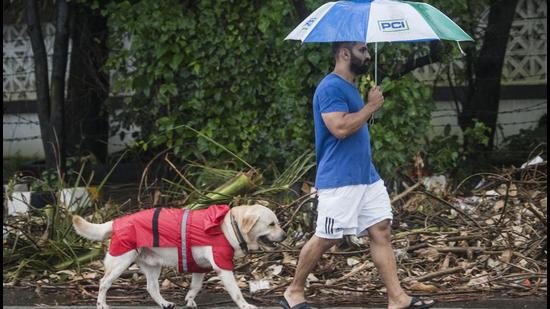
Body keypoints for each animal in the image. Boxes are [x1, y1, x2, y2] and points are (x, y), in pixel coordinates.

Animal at [73, 203, 286, 306]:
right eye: (271, 224)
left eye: (277, 222)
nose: (285, 235)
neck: (229, 228)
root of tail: (116, 222)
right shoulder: (222, 267)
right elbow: (236, 291)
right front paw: (246, 306)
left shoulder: (200, 268)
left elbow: (195, 287)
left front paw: (189, 301)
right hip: (120, 262)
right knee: (103, 283)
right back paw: (101, 305)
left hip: (153, 266)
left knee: (152, 288)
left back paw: (165, 304)